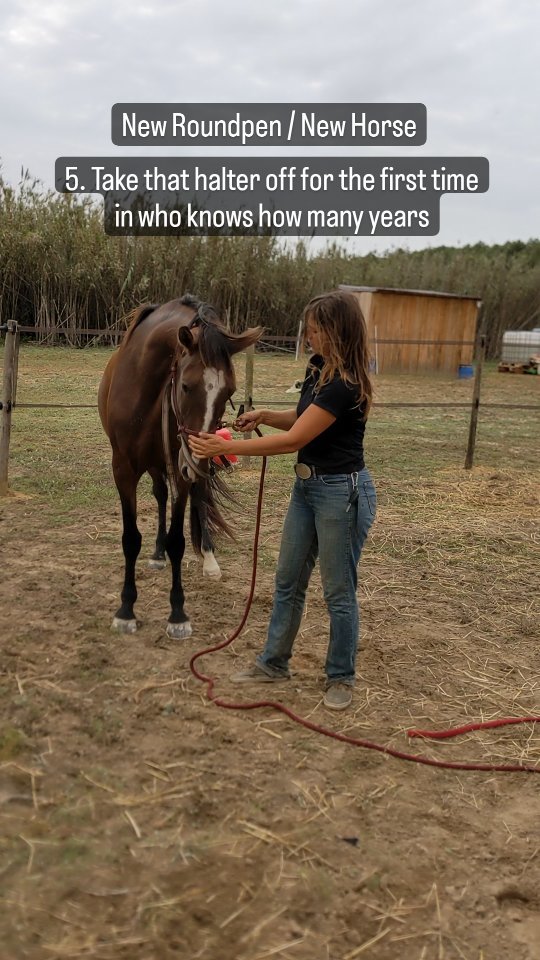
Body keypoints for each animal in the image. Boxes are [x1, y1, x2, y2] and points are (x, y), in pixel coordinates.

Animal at [98, 294, 261, 639]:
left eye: (229, 392)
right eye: (186, 386)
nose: (200, 461)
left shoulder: (183, 468)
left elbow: (179, 540)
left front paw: (177, 614)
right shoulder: (124, 470)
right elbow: (130, 539)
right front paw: (126, 610)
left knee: (198, 500)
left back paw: (209, 558)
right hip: (163, 464)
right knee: (160, 494)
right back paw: (157, 554)